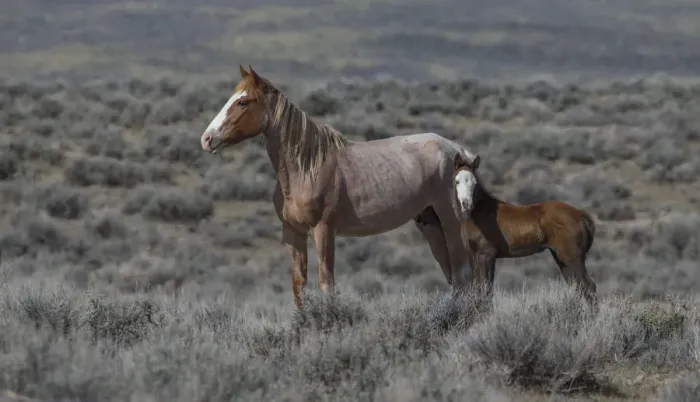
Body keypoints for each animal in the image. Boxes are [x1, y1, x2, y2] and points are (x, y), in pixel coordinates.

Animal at [199, 65, 479, 309]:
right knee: (452, 272)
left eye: (242, 102)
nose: (207, 139)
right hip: (429, 223)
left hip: (449, 218)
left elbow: (327, 284)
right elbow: (299, 287)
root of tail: (456, 149)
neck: (305, 169)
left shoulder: (324, 231)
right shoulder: (293, 233)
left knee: (462, 270)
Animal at [452, 152, 598, 305]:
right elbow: (476, 290)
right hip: (560, 257)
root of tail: (580, 214)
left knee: (589, 286)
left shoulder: (486, 255)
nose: (466, 204)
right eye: (457, 181)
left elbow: (486, 293)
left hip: (573, 257)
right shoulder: (473, 256)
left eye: (474, 183)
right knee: (578, 287)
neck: (479, 213)